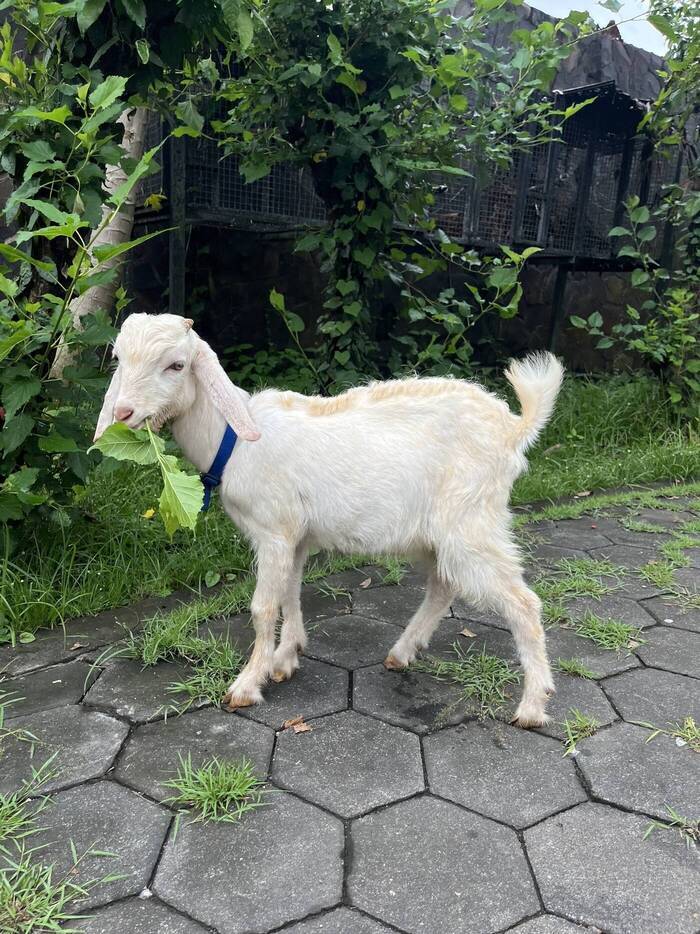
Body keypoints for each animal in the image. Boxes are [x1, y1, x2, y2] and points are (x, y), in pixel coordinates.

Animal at [95, 312, 564, 727]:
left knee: (522, 603)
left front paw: (247, 684)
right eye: (119, 359)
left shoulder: (273, 531)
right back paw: (403, 652)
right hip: (436, 532)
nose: (124, 413)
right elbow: (290, 592)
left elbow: (263, 606)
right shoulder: (295, 536)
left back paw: (532, 705)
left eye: (176, 364)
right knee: (443, 584)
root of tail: (513, 428)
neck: (233, 438)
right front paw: (286, 658)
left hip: (470, 520)